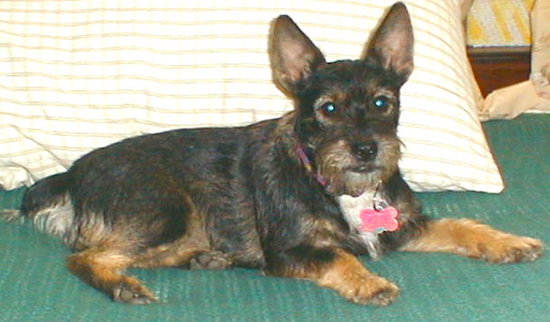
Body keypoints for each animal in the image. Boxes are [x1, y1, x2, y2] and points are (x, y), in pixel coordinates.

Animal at [11, 3, 544, 306]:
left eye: (382, 103)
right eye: (327, 109)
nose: (366, 148)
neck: (335, 184)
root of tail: (70, 176)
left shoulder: (403, 226)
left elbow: (462, 226)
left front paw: (508, 241)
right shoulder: (290, 250)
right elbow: (337, 256)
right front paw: (368, 282)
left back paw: (204, 258)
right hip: (164, 208)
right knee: (87, 258)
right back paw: (123, 284)